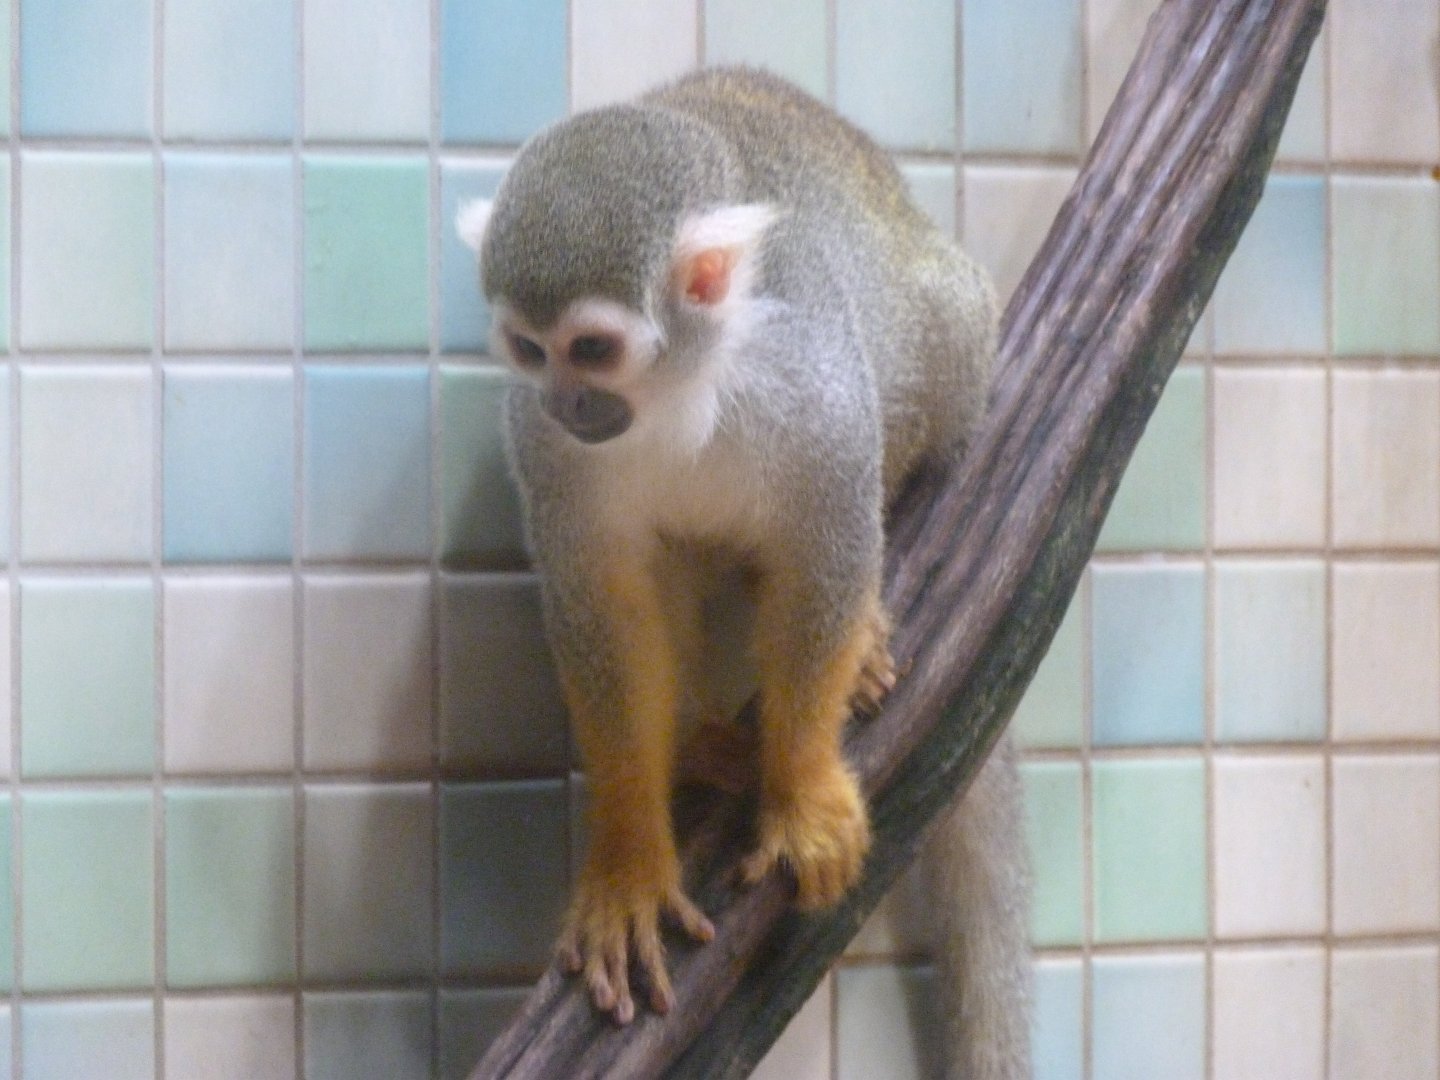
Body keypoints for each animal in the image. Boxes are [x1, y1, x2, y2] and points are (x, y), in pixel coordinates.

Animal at [458, 67, 1031, 1078]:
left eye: (592, 349)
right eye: (529, 348)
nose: (567, 402)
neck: (675, 393)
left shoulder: (805, 382)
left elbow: (826, 542)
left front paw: (800, 789)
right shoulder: (541, 446)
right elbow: (604, 603)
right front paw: (628, 857)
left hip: (948, 345)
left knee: (938, 335)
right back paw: (697, 743)